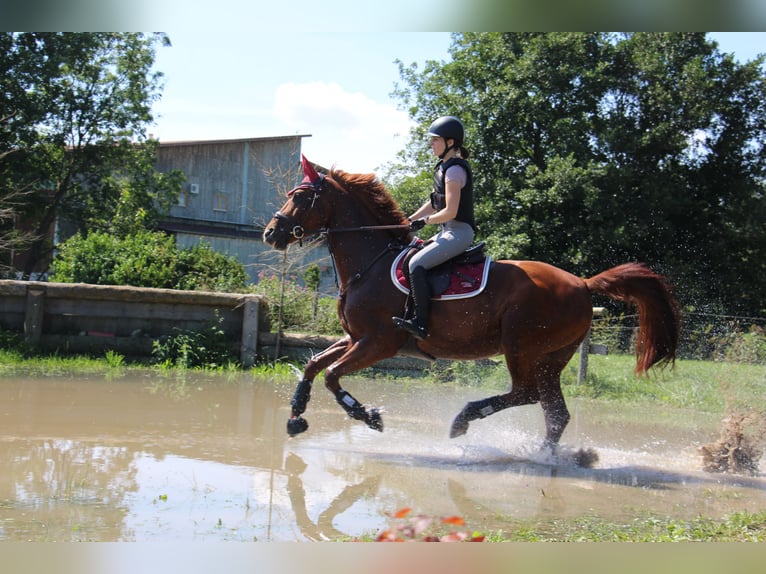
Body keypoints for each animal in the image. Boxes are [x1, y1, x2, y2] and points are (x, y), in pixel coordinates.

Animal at [264, 156, 684, 450]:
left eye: (300, 197)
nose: (271, 233)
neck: (371, 263)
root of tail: (582, 283)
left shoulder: (378, 342)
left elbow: (333, 376)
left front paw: (369, 416)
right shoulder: (356, 338)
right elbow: (314, 364)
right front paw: (296, 417)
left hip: (521, 344)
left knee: (526, 394)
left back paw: (464, 420)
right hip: (552, 356)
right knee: (555, 413)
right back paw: (545, 457)